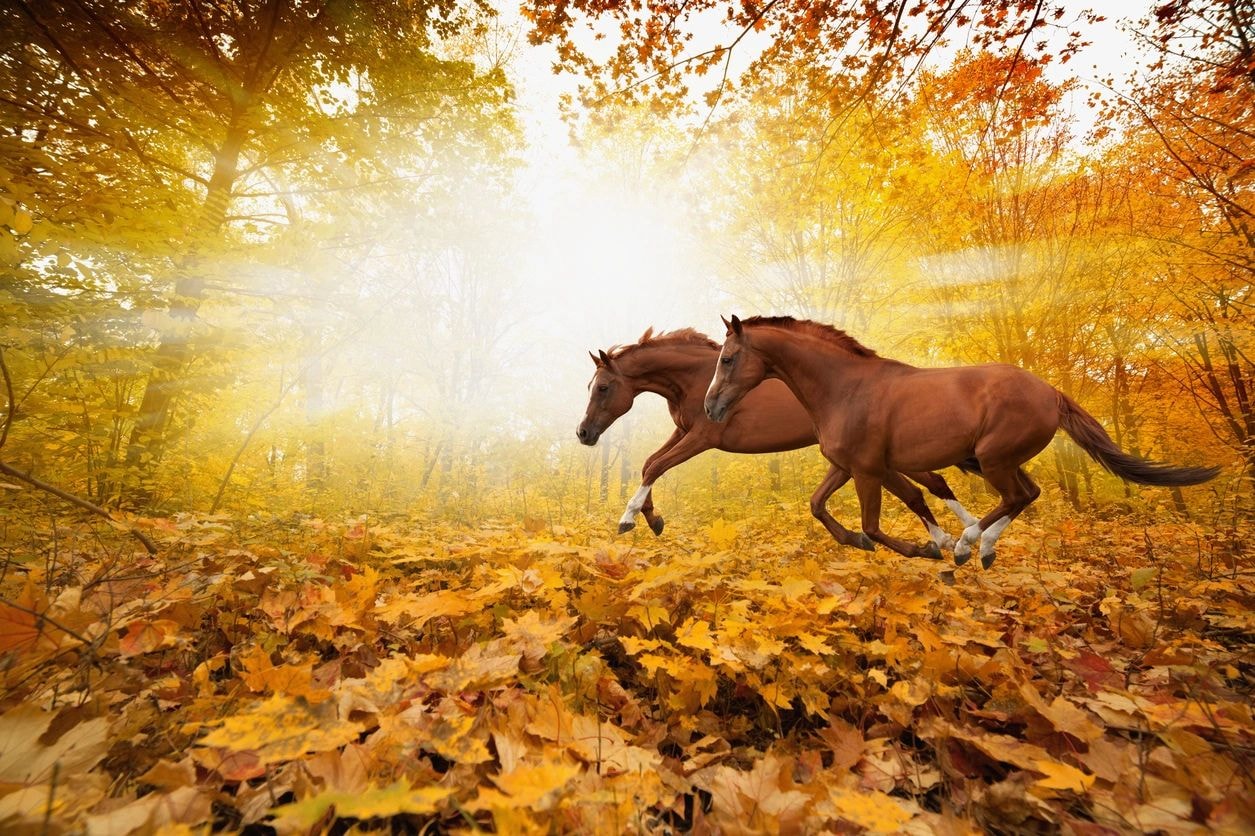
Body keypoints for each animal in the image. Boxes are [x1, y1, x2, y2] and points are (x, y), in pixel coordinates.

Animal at [576, 327, 979, 557]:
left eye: (604, 387)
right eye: (590, 386)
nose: (583, 433)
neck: (694, 379)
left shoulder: (702, 437)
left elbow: (656, 466)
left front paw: (629, 519)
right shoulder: (683, 432)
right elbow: (649, 465)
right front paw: (654, 519)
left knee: (932, 483)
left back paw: (961, 536)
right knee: (932, 483)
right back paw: (960, 536)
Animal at [703, 315, 1220, 568]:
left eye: (727, 359)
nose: (710, 408)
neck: (844, 387)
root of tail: (1050, 391)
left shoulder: (869, 469)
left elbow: (880, 522)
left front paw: (929, 548)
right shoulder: (849, 466)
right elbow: (819, 505)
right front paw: (858, 541)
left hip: (992, 459)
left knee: (1016, 497)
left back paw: (969, 546)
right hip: (994, 459)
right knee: (1028, 494)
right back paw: (984, 549)